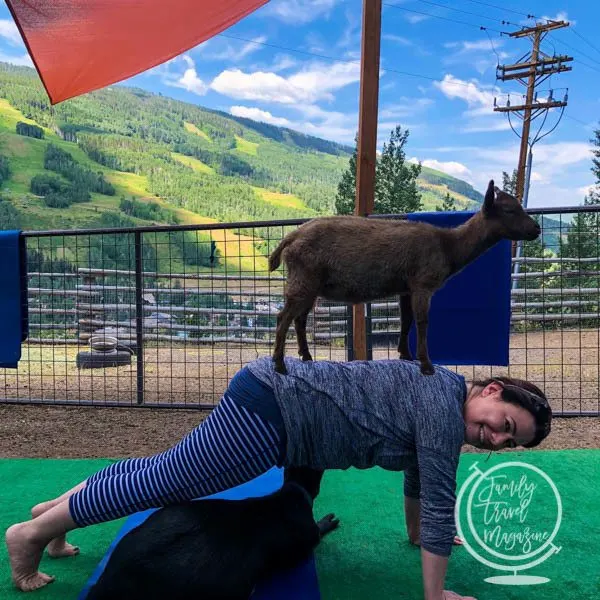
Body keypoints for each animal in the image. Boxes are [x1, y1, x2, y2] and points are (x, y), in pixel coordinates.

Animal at [270, 178, 540, 376]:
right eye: (509, 209)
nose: (536, 229)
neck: (448, 247)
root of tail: (289, 239)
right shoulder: (423, 282)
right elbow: (422, 321)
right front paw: (426, 365)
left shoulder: (406, 287)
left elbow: (406, 320)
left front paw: (406, 355)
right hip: (304, 278)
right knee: (284, 317)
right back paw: (280, 365)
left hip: (311, 284)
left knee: (300, 319)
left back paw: (306, 357)